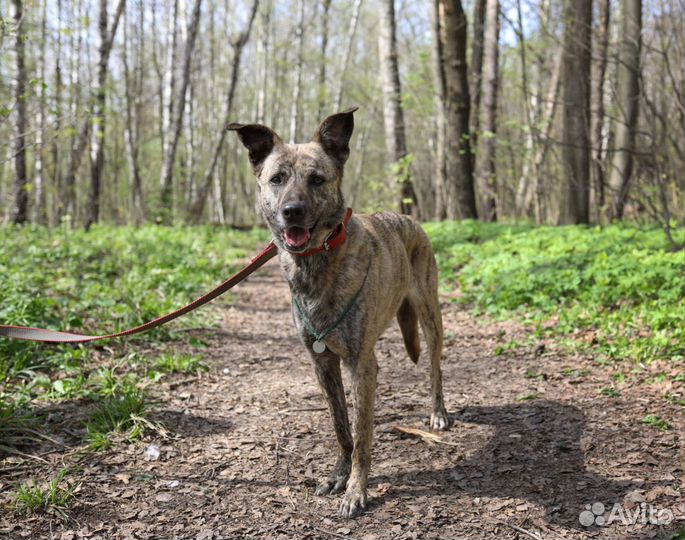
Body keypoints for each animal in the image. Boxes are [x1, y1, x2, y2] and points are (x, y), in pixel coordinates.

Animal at [226, 106, 448, 520]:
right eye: (277, 179)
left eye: (317, 179)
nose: (292, 212)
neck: (316, 260)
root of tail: (407, 218)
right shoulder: (323, 364)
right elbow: (342, 426)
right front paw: (338, 476)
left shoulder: (360, 363)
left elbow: (361, 436)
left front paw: (356, 489)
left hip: (430, 315)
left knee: (435, 369)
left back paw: (438, 412)